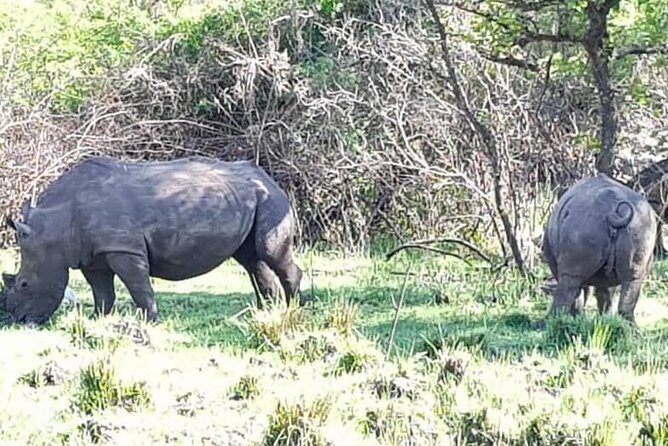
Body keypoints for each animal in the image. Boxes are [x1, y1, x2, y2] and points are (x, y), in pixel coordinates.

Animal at [1, 156, 302, 324]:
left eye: (24, 284)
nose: (19, 321)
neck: (54, 228)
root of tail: (267, 176)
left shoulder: (124, 249)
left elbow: (139, 287)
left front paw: (151, 322)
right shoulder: (92, 255)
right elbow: (102, 292)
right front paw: (97, 320)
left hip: (271, 198)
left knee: (268, 252)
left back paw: (295, 308)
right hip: (248, 198)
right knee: (251, 258)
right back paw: (267, 313)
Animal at [542, 173, 657, 323]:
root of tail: (614, 213)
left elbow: (582, 288)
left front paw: (577, 316)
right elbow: (605, 291)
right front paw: (605, 319)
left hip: (583, 224)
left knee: (570, 278)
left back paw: (550, 321)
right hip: (640, 225)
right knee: (633, 278)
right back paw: (630, 326)